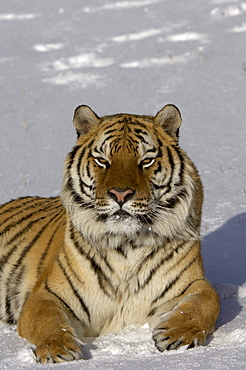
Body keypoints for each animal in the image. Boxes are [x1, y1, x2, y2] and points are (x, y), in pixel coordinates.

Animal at [0, 105, 219, 364]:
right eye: (102, 161)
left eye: (146, 161)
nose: (120, 194)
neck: (126, 245)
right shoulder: (46, 295)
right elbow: (49, 321)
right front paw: (57, 349)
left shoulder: (191, 284)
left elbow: (206, 302)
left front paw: (178, 335)